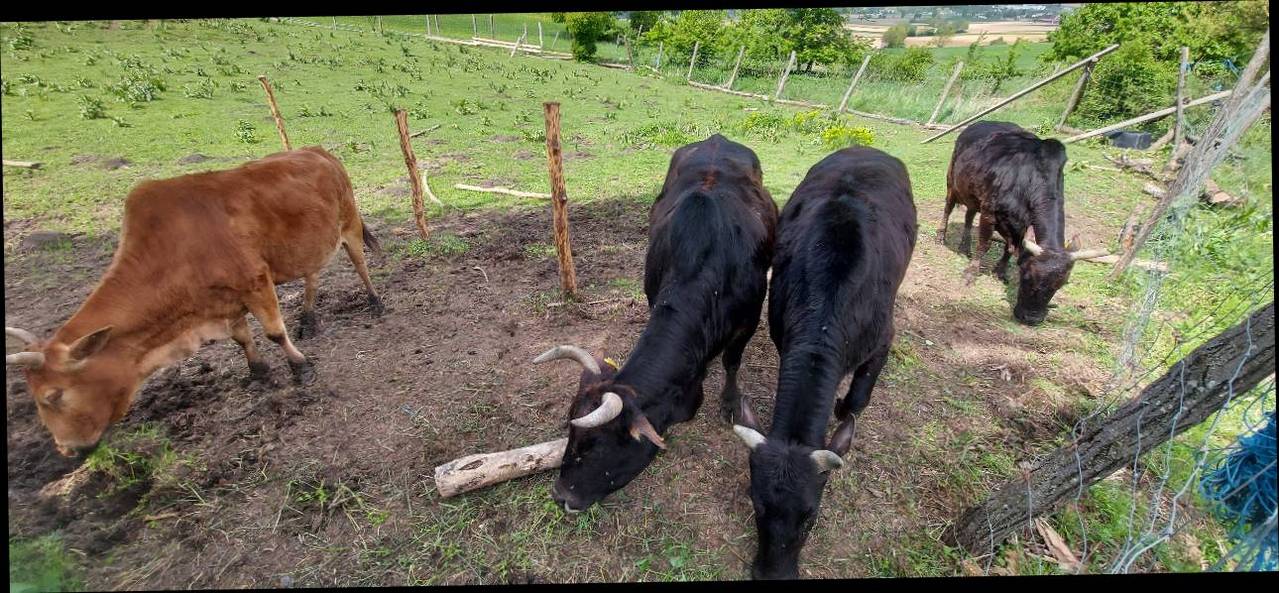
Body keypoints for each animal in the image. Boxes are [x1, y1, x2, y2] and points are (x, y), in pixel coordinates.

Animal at [5, 146, 383, 457]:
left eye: (53, 396)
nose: (66, 449)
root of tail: (319, 151)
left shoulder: (255, 282)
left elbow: (274, 332)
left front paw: (301, 367)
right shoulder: (222, 300)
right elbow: (242, 337)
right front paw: (258, 370)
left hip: (349, 224)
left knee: (360, 264)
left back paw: (375, 302)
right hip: (307, 245)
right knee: (312, 276)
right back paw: (308, 320)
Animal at [533, 134, 778, 513]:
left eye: (596, 445)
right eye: (571, 436)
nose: (561, 496)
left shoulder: (748, 320)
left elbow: (732, 362)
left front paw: (729, 402)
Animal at [733, 146, 917, 580]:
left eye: (810, 516)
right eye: (756, 503)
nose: (772, 575)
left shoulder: (882, 343)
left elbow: (855, 402)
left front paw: (842, 409)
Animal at [937, 121, 1107, 325]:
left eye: (1061, 284)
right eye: (1026, 276)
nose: (1031, 318)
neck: (1030, 180)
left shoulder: (1020, 225)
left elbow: (1010, 249)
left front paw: (1001, 271)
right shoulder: (989, 212)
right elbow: (984, 245)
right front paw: (970, 274)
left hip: (973, 195)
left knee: (969, 216)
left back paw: (964, 247)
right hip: (952, 183)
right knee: (948, 209)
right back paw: (940, 237)